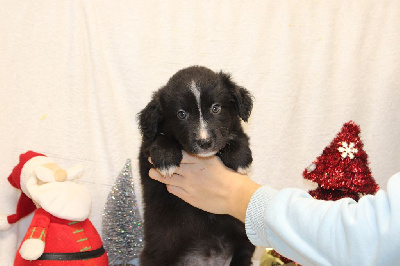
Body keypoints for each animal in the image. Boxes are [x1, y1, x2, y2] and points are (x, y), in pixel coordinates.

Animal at [138, 65, 255, 266]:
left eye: (216, 108)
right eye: (181, 114)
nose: (205, 142)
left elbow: (237, 135)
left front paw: (241, 158)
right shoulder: (146, 151)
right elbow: (157, 139)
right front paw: (166, 159)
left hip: (244, 241)